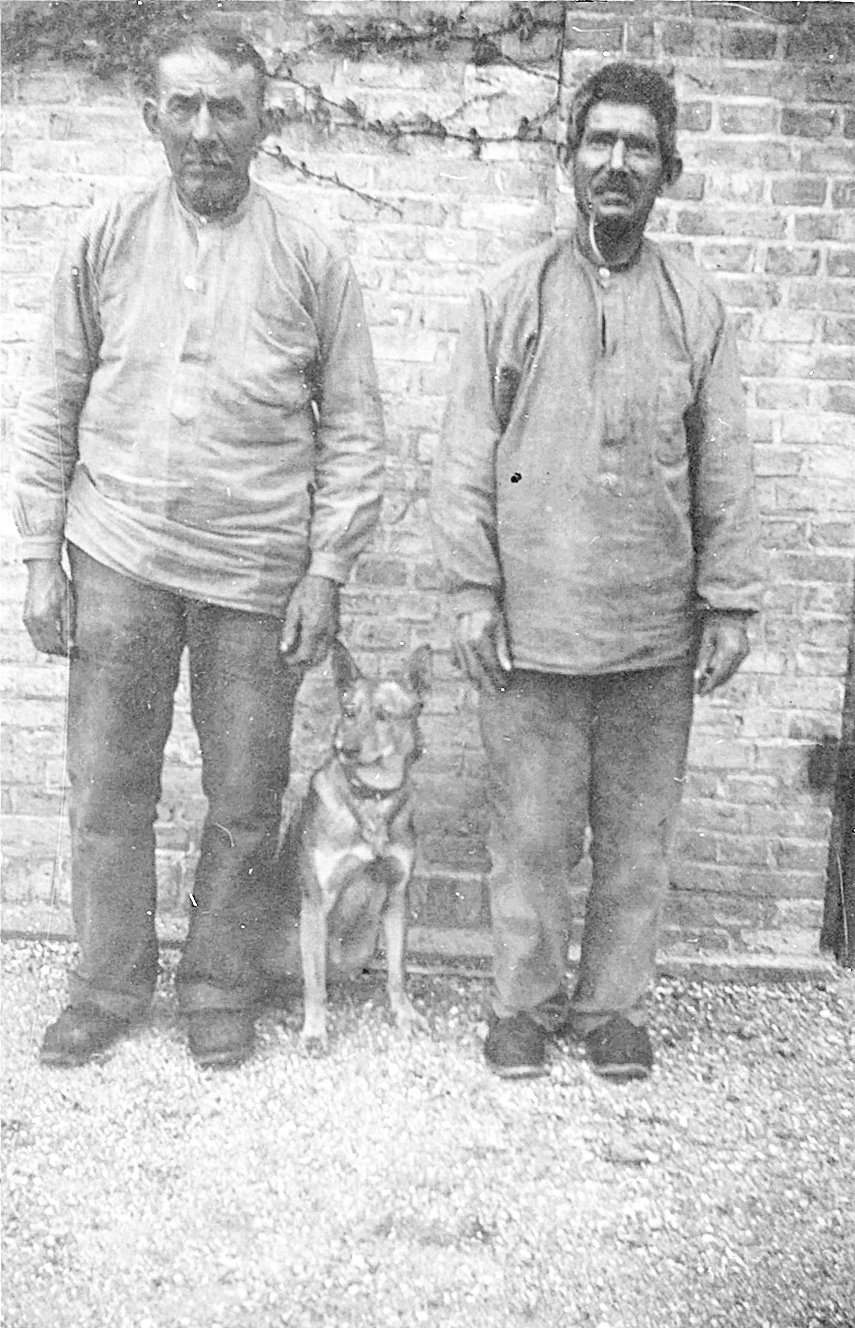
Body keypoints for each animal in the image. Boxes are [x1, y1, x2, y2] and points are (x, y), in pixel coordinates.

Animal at [282, 637, 430, 1051]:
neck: (371, 798)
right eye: (348, 712)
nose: (346, 748)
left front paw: (405, 1014)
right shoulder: (316, 904)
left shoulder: (397, 899)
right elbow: (314, 984)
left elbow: (397, 973)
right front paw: (315, 1030)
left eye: (383, 715)